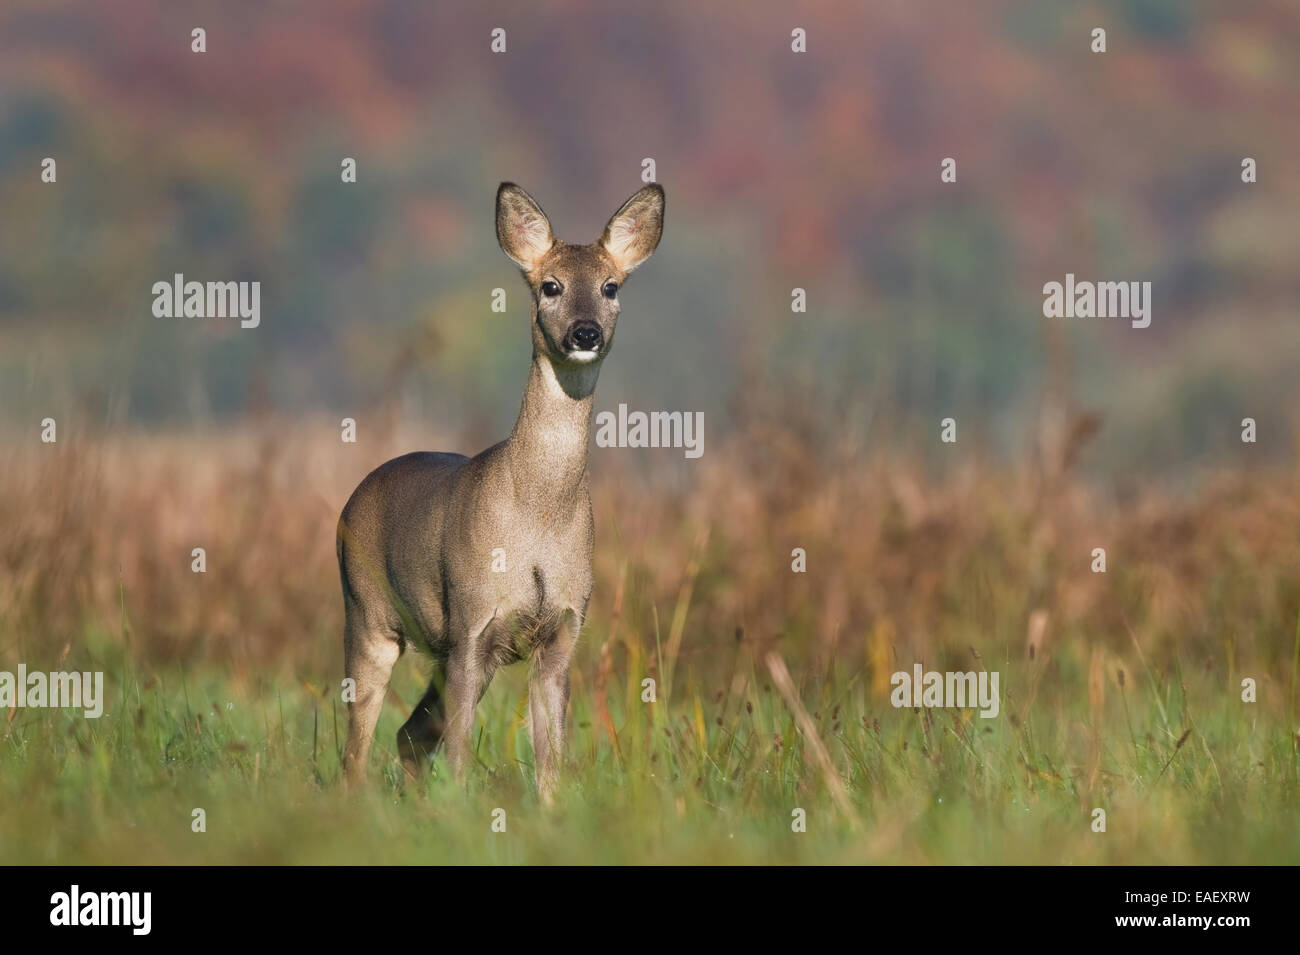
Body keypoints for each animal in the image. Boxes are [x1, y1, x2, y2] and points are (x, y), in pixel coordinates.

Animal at [336, 181, 665, 801]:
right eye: (550, 286)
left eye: (610, 286)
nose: (585, 332)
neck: (537, 512)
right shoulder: (472, 621)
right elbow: (461, 753)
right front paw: (461, 809)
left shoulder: (561, 631)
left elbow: (551, 759)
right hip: (368, 614)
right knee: (357, 750)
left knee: (409, 735)